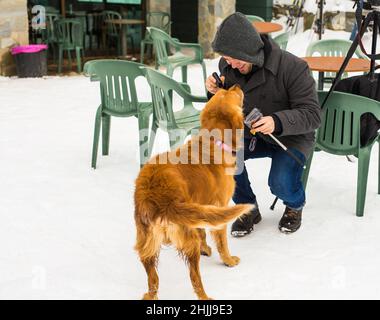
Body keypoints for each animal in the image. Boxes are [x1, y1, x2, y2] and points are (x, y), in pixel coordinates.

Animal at [134, 85, 252, 300]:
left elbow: (203, 230)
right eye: (229, 93)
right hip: (187, 239)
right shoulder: (219, 208)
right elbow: (222, 243)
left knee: (153, 280)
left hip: (147, 243)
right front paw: (229, 261)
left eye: (222, 90)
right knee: (194, 278)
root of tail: (155, 197)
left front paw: (206, 248)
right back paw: (205, 296)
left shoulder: (201, 208)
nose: (236, 85)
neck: (214, 140)